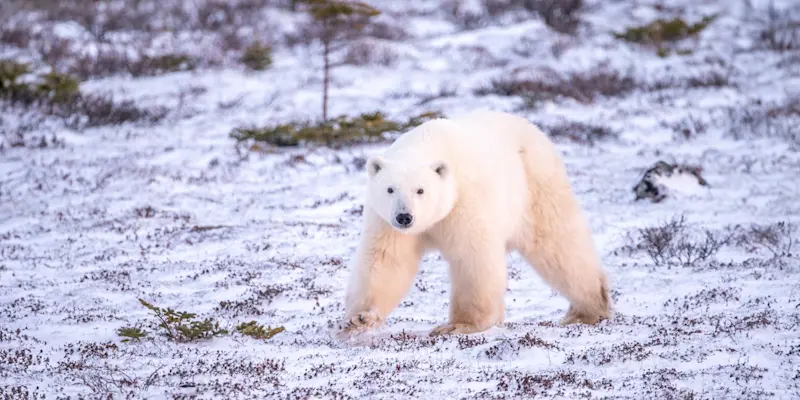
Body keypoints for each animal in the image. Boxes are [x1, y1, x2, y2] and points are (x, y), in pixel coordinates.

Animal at [338, 109, 610, 337]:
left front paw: (459, 325)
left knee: (557, 244)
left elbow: (473, 258)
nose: (404, 217)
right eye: (390, 189)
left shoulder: (465, 202)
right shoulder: (385, 221)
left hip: (536, 185)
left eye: (420, 190)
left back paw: (588, 309)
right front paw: (359, 319)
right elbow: (386, 260)